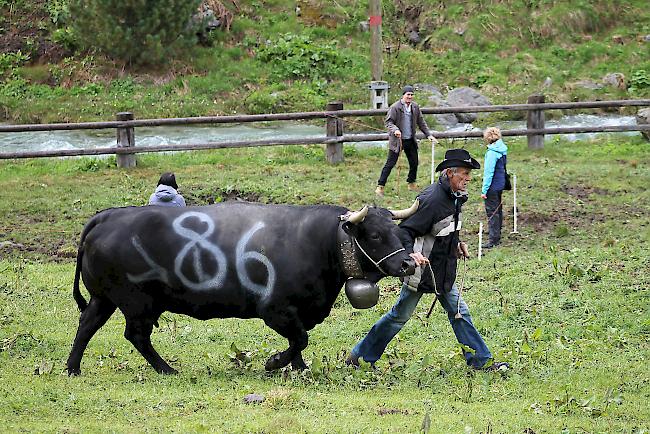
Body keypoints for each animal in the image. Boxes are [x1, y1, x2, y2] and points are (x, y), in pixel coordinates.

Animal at [67, 200, 416, 372]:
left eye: (398, 230)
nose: (409, 264)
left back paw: (73, 368)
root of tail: (107, 217)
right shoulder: (275, 310)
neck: (318, 241)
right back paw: (167, 370)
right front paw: (275, 362)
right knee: (135, 336)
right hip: (137, 303)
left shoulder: (300, 312)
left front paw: (299, 369)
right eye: (374, 235)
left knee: (87, 325)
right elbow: (300, 339)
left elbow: (300, 340)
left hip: (103, 299)